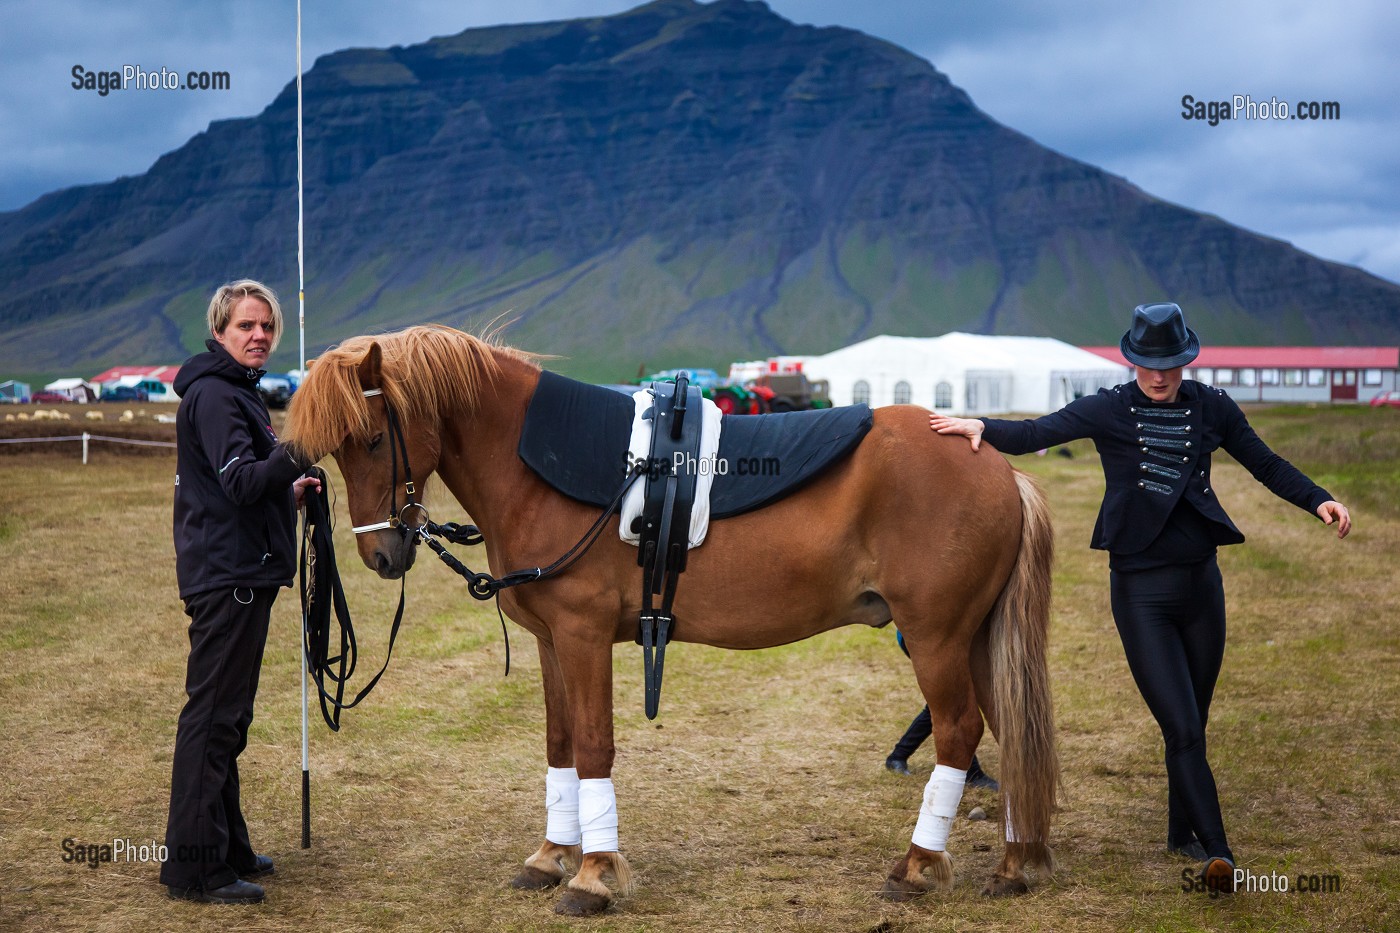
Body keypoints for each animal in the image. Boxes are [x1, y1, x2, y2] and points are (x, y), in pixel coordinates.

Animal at [278, 323, 1052, 913]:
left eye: (374, 438)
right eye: (336, 448)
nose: (381, 553)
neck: (533, 464)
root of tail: (994, 461)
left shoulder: (584, 635)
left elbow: (593, 746)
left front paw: (593, 875)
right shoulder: (552, 642)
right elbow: (560, 743)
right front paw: (552, 854)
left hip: (936, 638)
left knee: (960, 732)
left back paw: (919, 865)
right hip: (974, 639)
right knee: (1011, 727)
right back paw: (1016, 862)